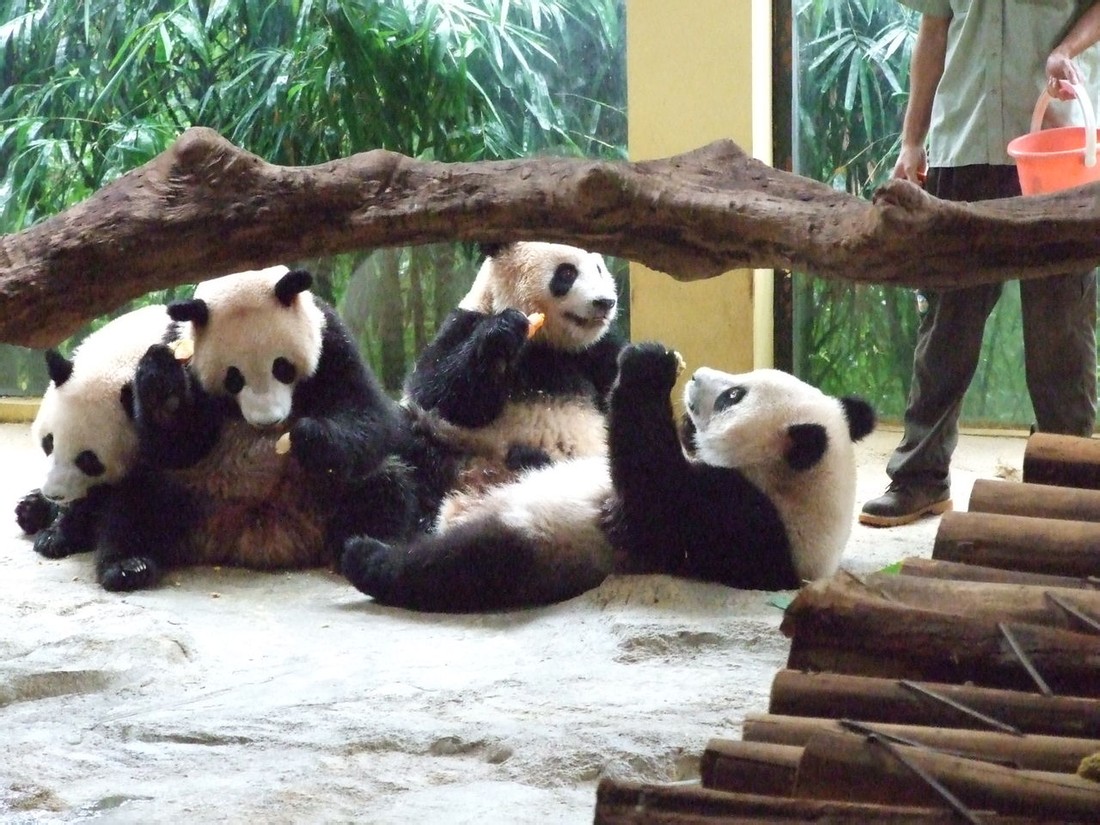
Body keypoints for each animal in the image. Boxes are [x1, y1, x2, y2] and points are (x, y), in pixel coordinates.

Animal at [14, 305, 173, 558]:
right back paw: (29, 508)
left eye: (88, 460)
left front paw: (58, 535)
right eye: (49, 442)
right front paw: (46, 516)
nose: (54, 494)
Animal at [88, 265, 417, 591]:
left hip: (326, 490)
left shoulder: (331, 339)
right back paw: (129, 566)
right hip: (190, 488)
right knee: (137, 502)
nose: (268, 421)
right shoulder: (184, 346)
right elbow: (176, 446)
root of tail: (259, 536)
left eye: (282, 367)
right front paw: (162, 386)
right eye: (234, 378)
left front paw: (311, 437)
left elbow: (366, 411)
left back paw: (363, 549)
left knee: (381, 485)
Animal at [341, 342, 876, 612]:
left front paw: (648, 365)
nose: (698, 376)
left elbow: (654, 494)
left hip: (543, 547)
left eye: (732, 397)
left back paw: (367, 554)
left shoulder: (745, 526)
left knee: (461, 567)